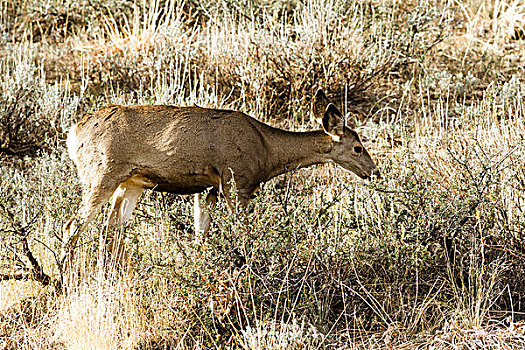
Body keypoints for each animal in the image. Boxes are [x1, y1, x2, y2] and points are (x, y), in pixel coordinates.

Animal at [61, 89, 378, 268]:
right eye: (357, 147)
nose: (373, 171)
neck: (267, 150)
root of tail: (73, 133)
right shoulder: (235, 181)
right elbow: (244, 234)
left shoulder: (208, 188)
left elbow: (200, 235)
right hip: (102, 173)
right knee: (72, 226)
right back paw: (66, 279)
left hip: (131, 183)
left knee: (110, 230)